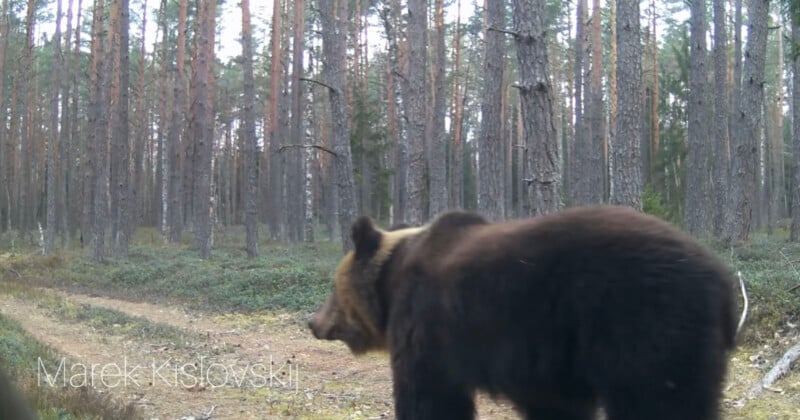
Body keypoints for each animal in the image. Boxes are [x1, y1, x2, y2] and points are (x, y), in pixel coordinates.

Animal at [309, 206, 739, 420]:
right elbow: (555, 406)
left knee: (660, 401)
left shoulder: (428, 327)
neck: (392, 281)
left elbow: (429, 396)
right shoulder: (546, 363)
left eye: (331, 288)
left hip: (641, 322)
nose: (313, 321)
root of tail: (722, 279)